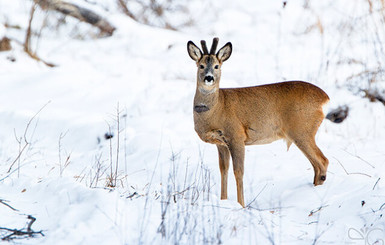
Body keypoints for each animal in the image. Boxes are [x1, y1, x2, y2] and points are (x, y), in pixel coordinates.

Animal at [187, 37, 330, 208]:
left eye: (217, 66)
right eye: (201, 65)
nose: (209, 78)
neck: (217, 109)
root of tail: (325, 99)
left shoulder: (236, 136)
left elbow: (238, 171)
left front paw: (241, 205)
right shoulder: (221, 143)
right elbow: (224, 170)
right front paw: (224, 201)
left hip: (302, 130)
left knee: (323, 161)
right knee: (317, 165)